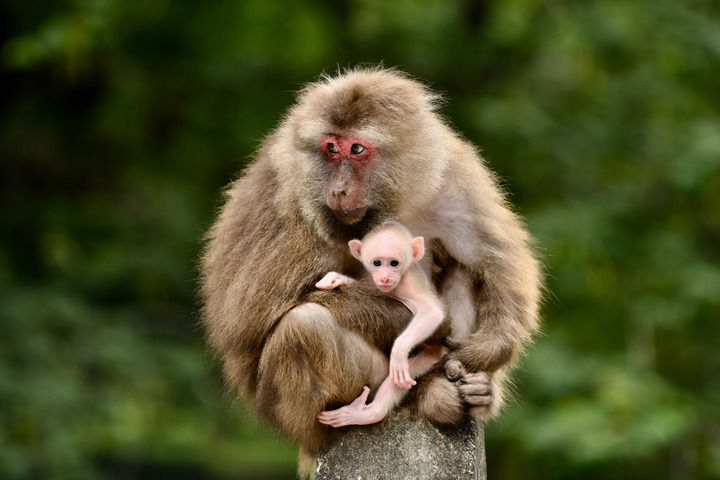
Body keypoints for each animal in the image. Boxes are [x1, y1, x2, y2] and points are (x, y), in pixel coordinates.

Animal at [316, 222, 444, 428]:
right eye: (377, 263)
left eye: (394, 263)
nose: (384, 277)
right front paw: (336, 279)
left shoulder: (411, 284)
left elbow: (432, 311)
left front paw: (399, 349)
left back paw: (367, 414)